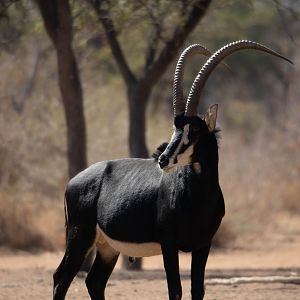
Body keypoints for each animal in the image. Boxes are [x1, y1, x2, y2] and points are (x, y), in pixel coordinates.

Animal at [52, 40, 292, 300]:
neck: (198, 199)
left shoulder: (203, 245)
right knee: (61, 279)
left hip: (108, 247)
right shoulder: (169, 245)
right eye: (175, 127)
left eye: (193, 130)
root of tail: (73, 181)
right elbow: (175, 291)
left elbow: (197, 290)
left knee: (95, 281)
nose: (163, 159)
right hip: (80, 236)